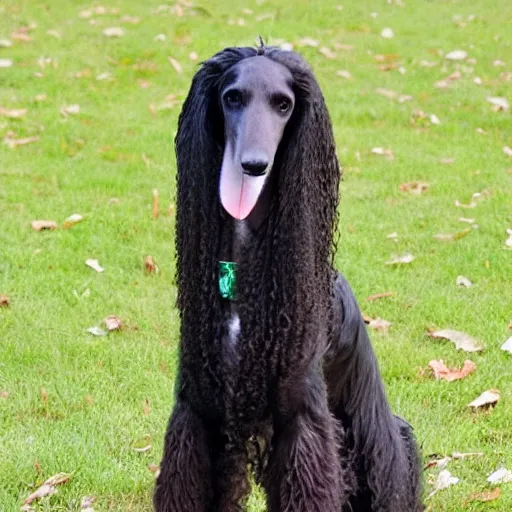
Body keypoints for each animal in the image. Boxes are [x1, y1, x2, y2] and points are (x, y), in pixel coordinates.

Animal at [155, 45, 424, 512]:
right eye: (232, 97)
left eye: (284, 104)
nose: (253, 165)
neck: (247, 267)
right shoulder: (199, 412)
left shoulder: (301, 422)